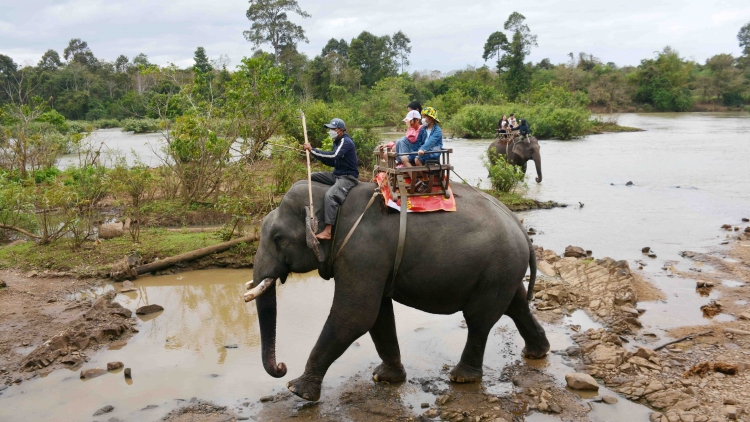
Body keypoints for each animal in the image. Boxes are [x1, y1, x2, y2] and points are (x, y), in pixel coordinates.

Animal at [250, 179, 548, 402]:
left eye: (278, 239)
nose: (282, 367)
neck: (330, 196)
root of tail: (521, 227)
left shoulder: (362, 253)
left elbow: (355, 315)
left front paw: (297, 390)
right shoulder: (370, 260)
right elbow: (378, 315)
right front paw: (385, 377)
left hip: (496, 269)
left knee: (479, 320)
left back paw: (461, 377)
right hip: (504, 271)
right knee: (516, 305)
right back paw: (536, 352)